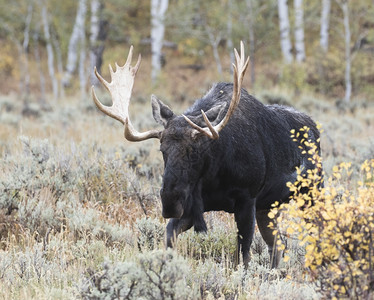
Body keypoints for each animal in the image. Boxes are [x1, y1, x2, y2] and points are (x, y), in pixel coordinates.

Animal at [91, 41, 322, 268]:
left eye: (195, 150)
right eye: (162, 149)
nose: (169, 201)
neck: (214, 175)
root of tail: (314, 126)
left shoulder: (247, 199)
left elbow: (243, 256)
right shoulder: (193, 206)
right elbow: (169, 236)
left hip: (312, 192)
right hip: (269, 206)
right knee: (277, 245)